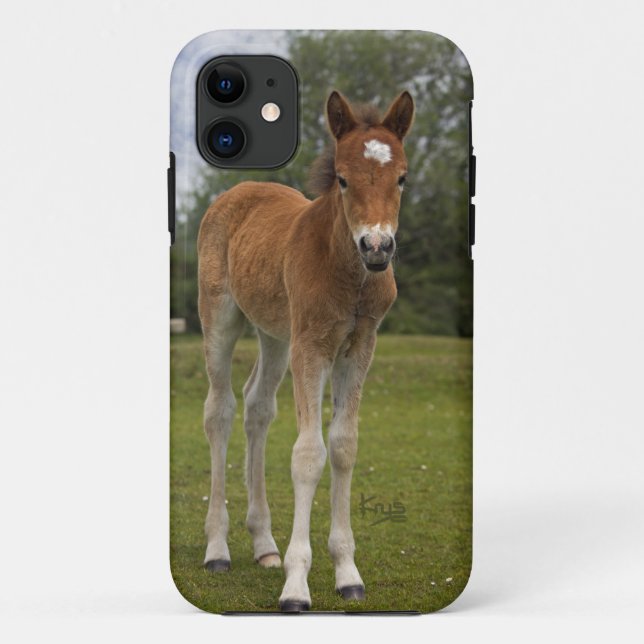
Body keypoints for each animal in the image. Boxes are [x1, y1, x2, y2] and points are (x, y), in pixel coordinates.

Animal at [197, 89, 414, 611]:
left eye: (402, 178)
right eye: (343, 178)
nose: (377, 247)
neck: (350, 274)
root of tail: (237, 190)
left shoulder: (359, 347)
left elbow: (343, 446)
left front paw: (347, 574)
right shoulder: (311, 347)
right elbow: (308, 453)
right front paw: (296, 586)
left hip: (276, 335)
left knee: (257, 407)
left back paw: (264, 545)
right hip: (221, 318)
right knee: (220, 410)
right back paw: (218, 549)